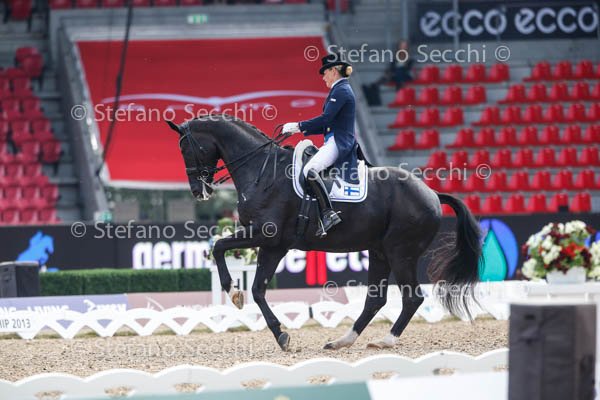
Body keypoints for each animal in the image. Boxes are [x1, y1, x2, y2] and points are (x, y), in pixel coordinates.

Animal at [167, 114, 482, 351]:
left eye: (185, 148)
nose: (199, 191)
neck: (261, 171)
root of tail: (431, 193)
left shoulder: (266, 236)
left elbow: (220, 246)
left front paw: (233, 292)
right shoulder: (273, 245)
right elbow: (257, 289)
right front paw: (280, 334)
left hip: (400, 252)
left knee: (412, 298)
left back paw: (386, 341)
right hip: (379, 251)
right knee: (375, 299)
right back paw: (343, 341)